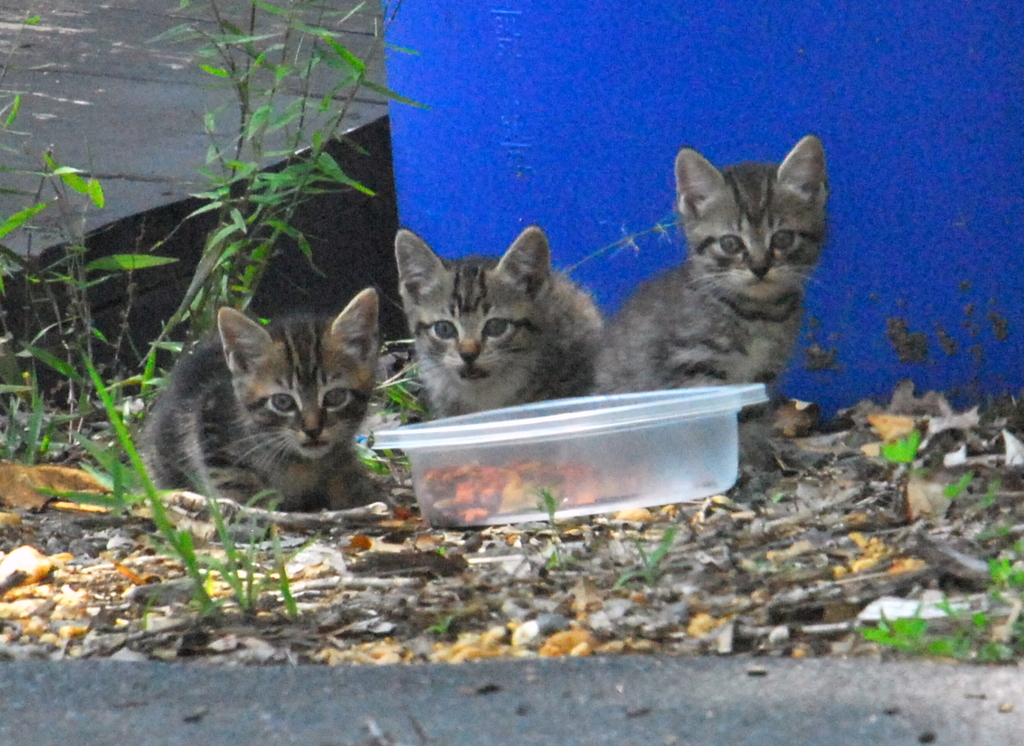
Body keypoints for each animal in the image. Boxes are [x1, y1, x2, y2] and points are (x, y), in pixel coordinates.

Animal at [144, 288, 380, 509]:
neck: (299, 461)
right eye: (282, 402)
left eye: (335, 396)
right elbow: (233, 480)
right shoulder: (210, 423)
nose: (313, 430)